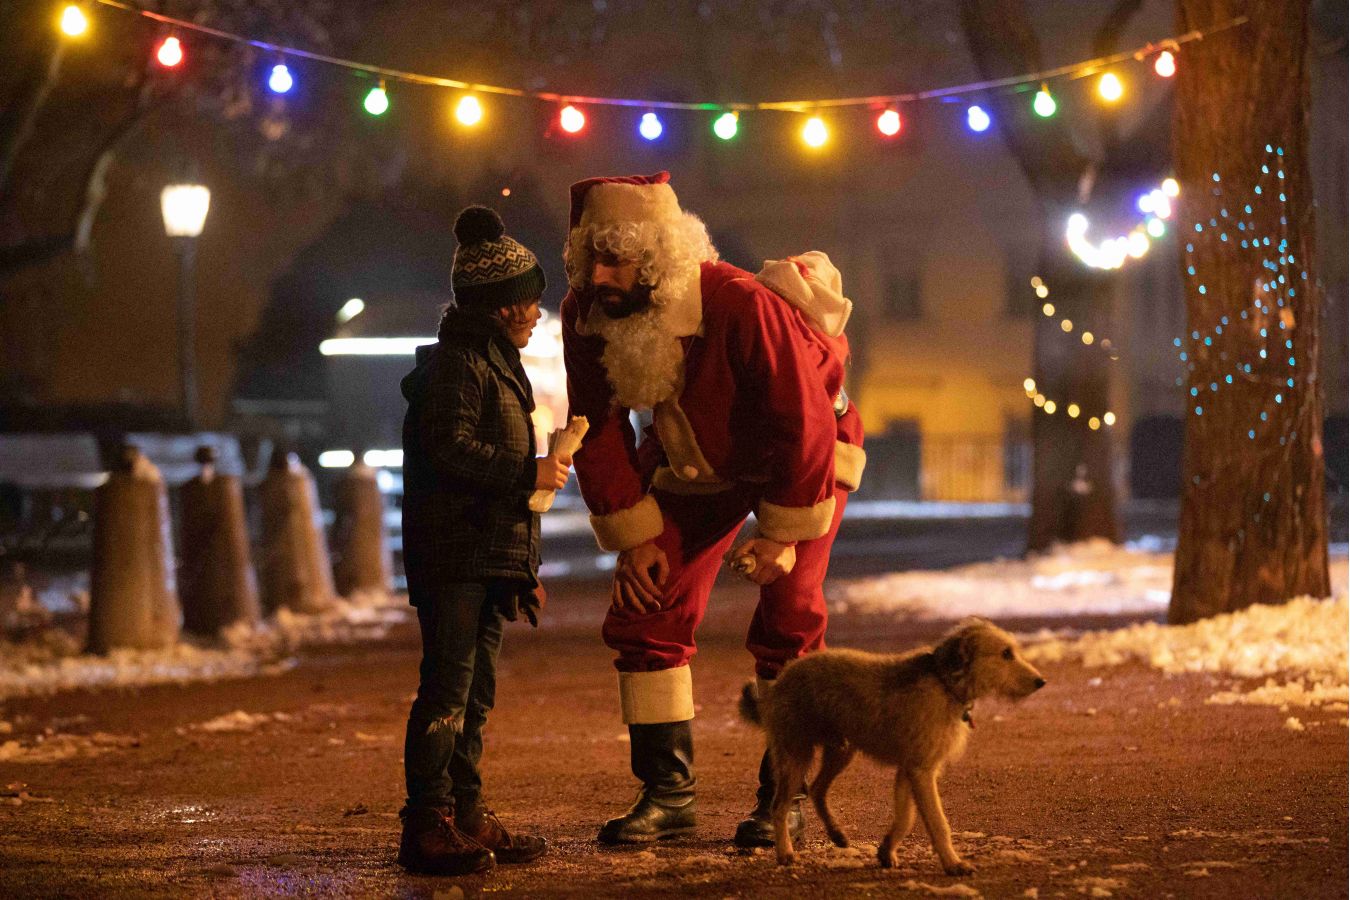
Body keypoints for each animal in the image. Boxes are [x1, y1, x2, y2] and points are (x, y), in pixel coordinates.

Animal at [739, 620, 1042, 874]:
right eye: (1006, 654)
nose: (1042, 682)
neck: (944, 680)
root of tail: (781, 678)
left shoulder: (909, 770)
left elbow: (906, 817)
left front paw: (886, 850)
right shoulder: (920, 771)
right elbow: (937, 822)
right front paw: (953, 863)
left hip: (842, 750)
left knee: (817, 789)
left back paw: (836, 833)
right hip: (796, 754)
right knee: (780, 805)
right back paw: (785, 853)